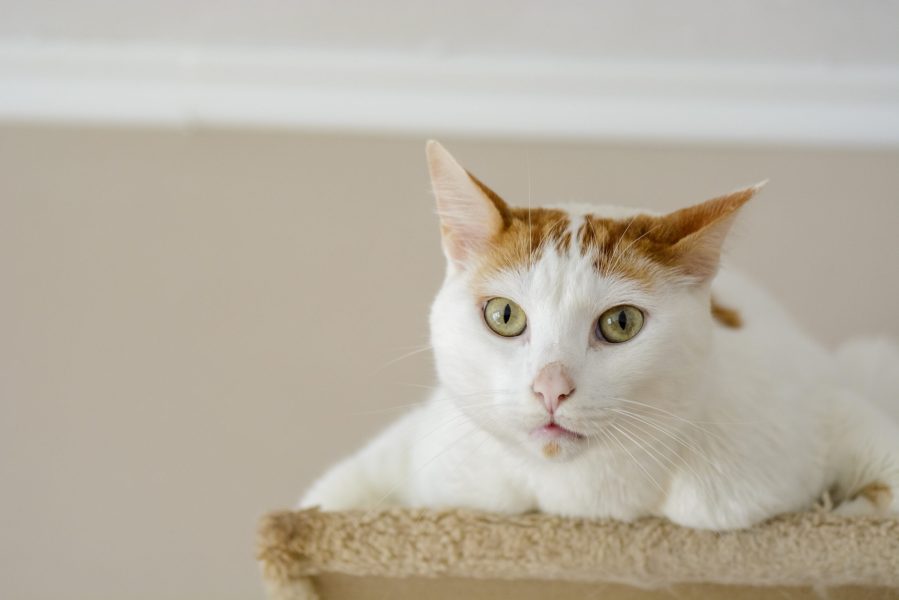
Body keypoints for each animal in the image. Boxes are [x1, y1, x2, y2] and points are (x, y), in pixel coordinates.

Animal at [302, 141, 899, 528]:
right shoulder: (428, 448)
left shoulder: (812, 416)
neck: (578, 498)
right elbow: (327, 498)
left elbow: (883, 490)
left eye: (621, 323)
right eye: (504, 315)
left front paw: (836, 508)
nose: (551, 387)